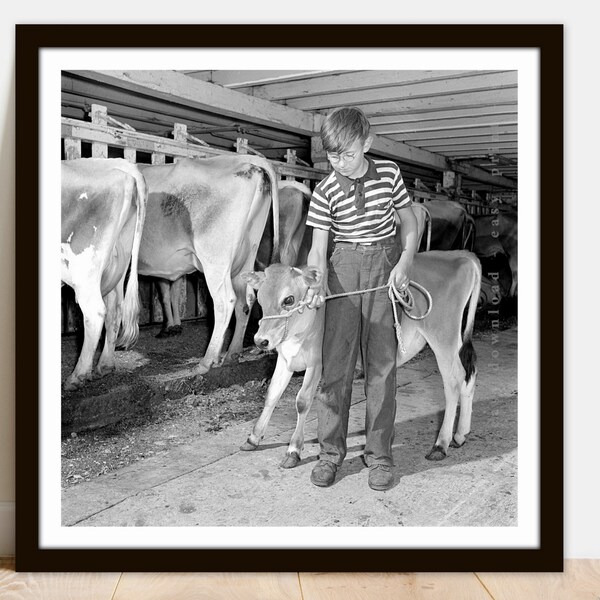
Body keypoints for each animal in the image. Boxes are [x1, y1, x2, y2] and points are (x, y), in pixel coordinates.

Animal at [61, 159, 146, 392]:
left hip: (85, 266)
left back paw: (77, 376)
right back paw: (104, 366)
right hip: (117, 263)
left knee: (96, 311)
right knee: (114, 311)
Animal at [136, 154, 278, 370]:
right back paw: (232, 354)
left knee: (225, 301)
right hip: (244, 257)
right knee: (246, 300)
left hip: (215, 260)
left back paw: (207, 360)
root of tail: (251, 165)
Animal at [241, 251, 480, 466]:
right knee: (468, 374)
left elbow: (302, 401)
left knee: (453, 383)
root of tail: (461, 255)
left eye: (288, 300)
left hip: (443, 338)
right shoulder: (285, 359)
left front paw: (293, 450)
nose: (260, 340)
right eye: (259, 299)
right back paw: (461, 434)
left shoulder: (316, 363)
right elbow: (272, 395)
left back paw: (441, 443)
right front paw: (253, 437)